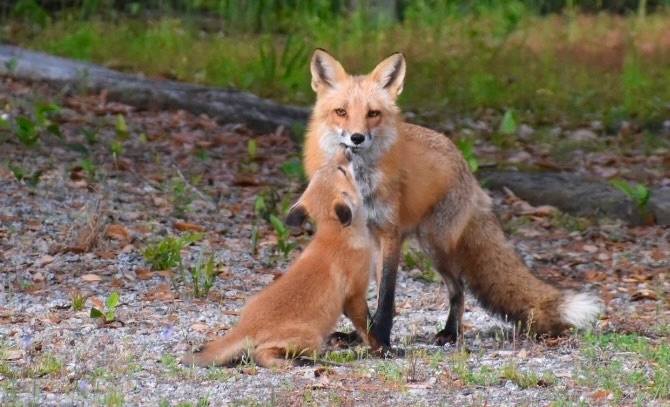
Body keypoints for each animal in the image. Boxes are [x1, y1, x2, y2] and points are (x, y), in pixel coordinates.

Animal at [181, 154, 380, 368]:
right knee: (260, 354)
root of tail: (246, 326)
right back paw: (297, 362)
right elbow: (368, 329)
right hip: (311, 338)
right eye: (342, 170)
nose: (347, 152)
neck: (337, 234)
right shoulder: (355, 294)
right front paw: (383, 350)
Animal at [303, 49, 603, 347]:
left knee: (458, 288)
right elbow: (364, 297)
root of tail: (464, 163)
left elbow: (386, 298)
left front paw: (382, 341)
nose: (357, 138)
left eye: (373, 113)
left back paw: (450, 332)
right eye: (341, 112)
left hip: (434, 245)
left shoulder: (390, 234)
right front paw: (365, 335)